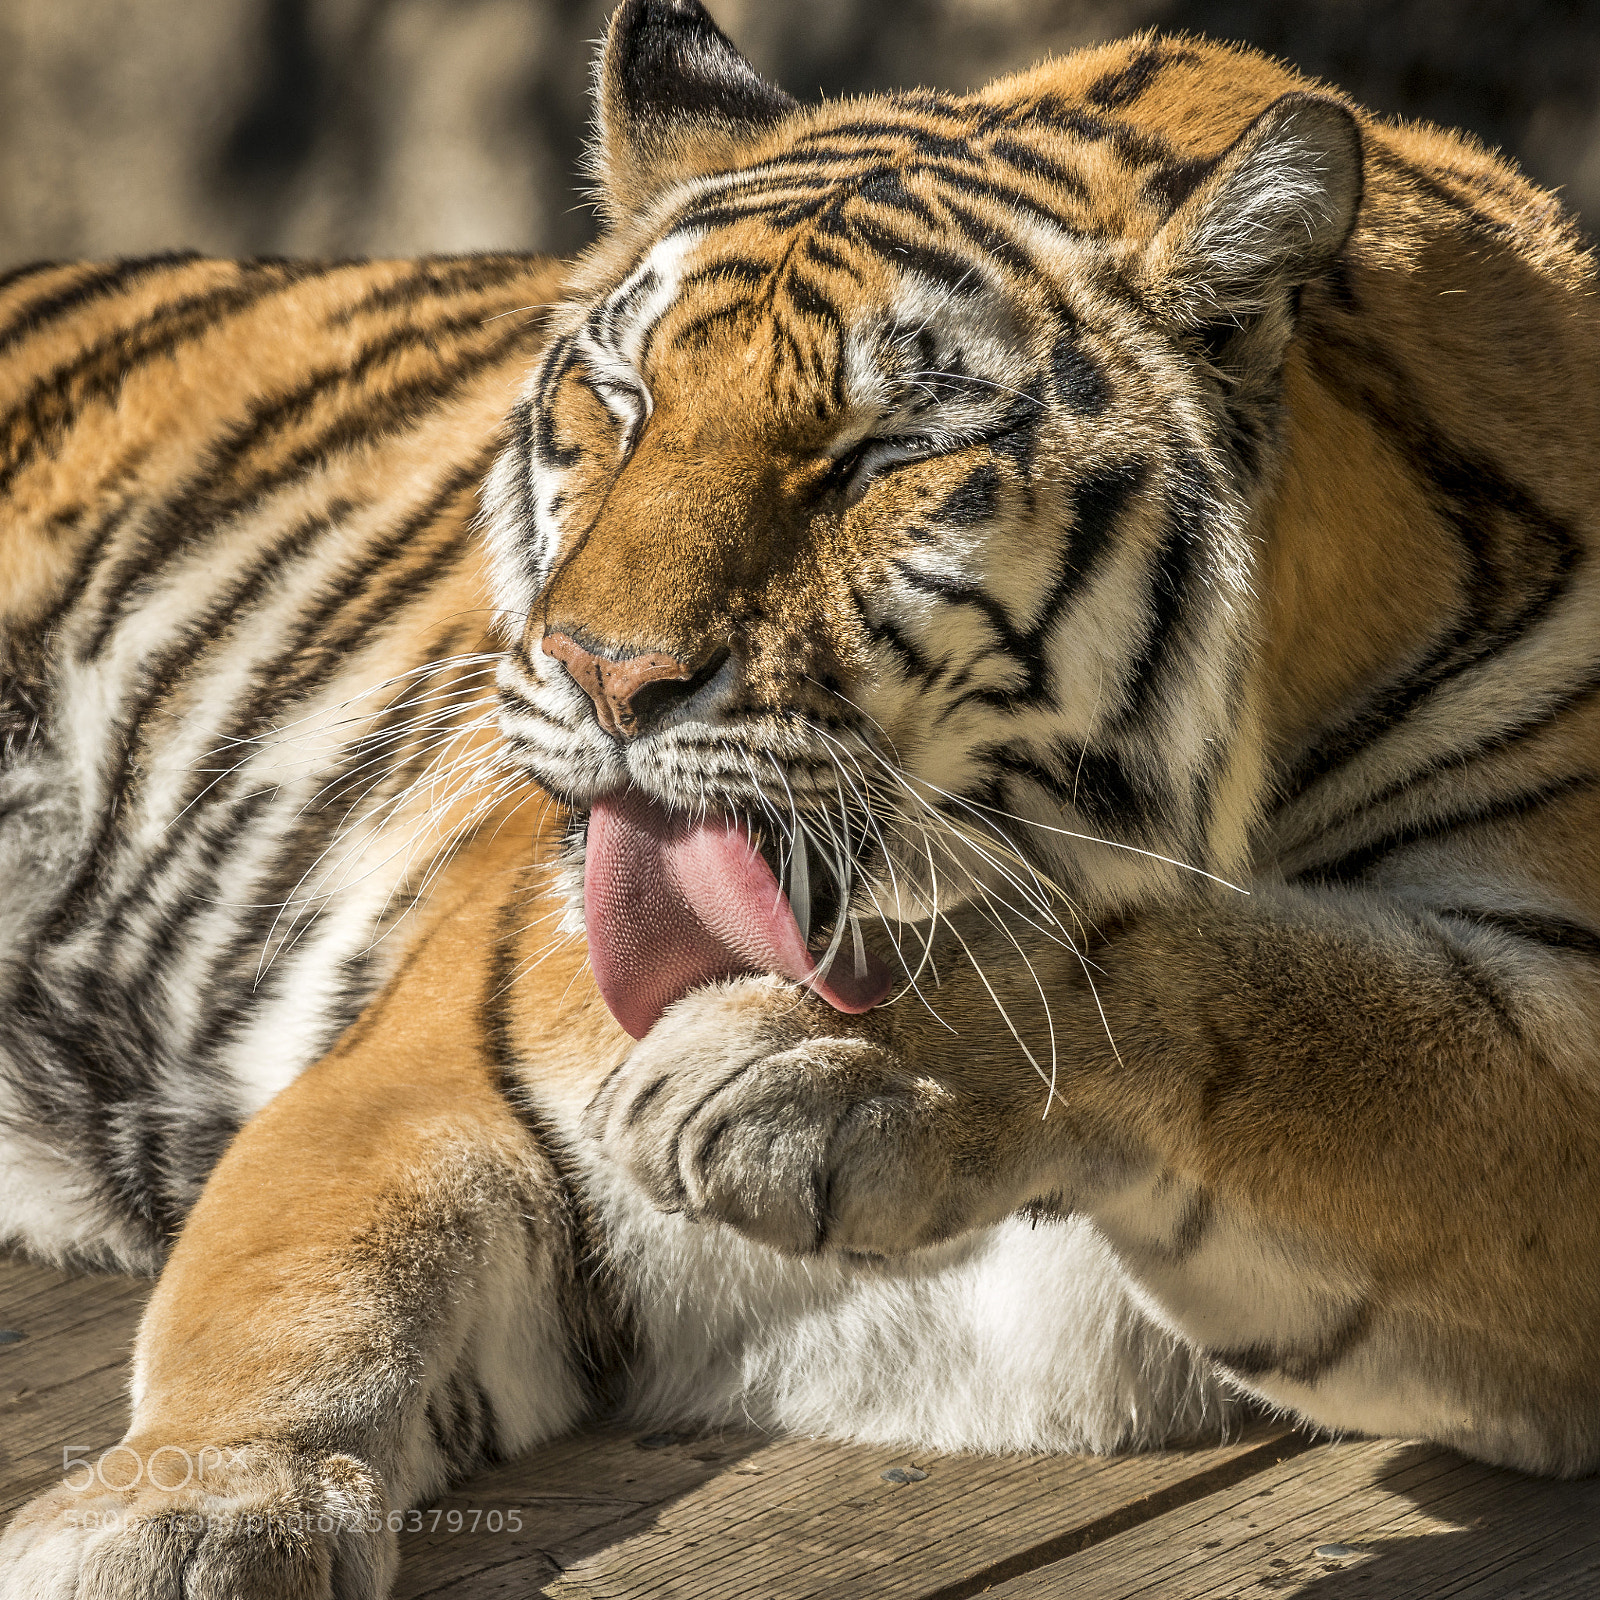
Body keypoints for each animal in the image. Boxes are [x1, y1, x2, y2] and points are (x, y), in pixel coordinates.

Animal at [3, 0, 1600, 1593]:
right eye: (625, 402)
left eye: (885, 455)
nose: (607, 677)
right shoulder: (439, 1074)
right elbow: (299, 1302)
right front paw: (185, 1520)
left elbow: (1264, 998)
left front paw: (804, 1061)